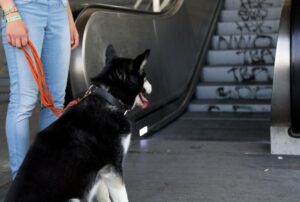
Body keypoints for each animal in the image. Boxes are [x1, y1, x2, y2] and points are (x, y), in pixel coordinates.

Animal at [5, 45, 152, 202]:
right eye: (144, 76)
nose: (151, 86)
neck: (108, 98)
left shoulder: (98, 174)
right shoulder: (112, 170)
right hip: (73, 199)